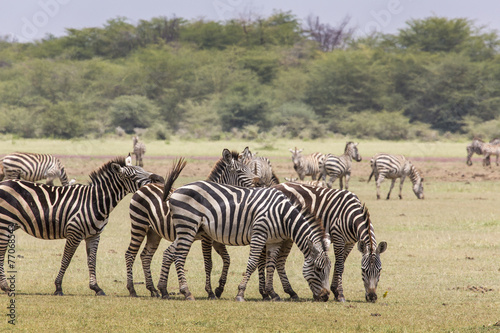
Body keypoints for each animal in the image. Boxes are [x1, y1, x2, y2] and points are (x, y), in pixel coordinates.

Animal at [0, 157, 163, 294]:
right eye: (133, 175)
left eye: (142, 169)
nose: (160, 178)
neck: (94, 201)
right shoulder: (74, 232)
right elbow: (66, 259)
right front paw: (58, 287)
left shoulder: (94, 235)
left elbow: (92, 260)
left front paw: (96, 287)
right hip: (4, 223)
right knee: (1, 253)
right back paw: (6, 286)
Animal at [124, 149, 262, 296]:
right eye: (239, 171)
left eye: (250, 169)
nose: (259, 182)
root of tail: (144, 187)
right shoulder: (207, 238)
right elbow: (208, 263)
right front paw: (210, 291)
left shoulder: (216, 238)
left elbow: (227, 259)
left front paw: (220, 287)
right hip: (139, 224)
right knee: (130, 254)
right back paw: (132, 289)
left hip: (153, 232)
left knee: (146, 256)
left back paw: (153, 289)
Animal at [160, 175, 332, 300]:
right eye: (318, 269)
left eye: (329, 269)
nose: (325, 296)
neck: (283, 216)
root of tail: (177, 190)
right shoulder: (259, 234)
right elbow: (253, 263)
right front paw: (241, 293)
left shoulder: (274, 241)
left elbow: (270, 265)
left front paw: (272, 293)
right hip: (187, 225)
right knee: (180, 257)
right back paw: (186, 292)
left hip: (192, 229)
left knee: (170, 253)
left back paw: (165, 290)